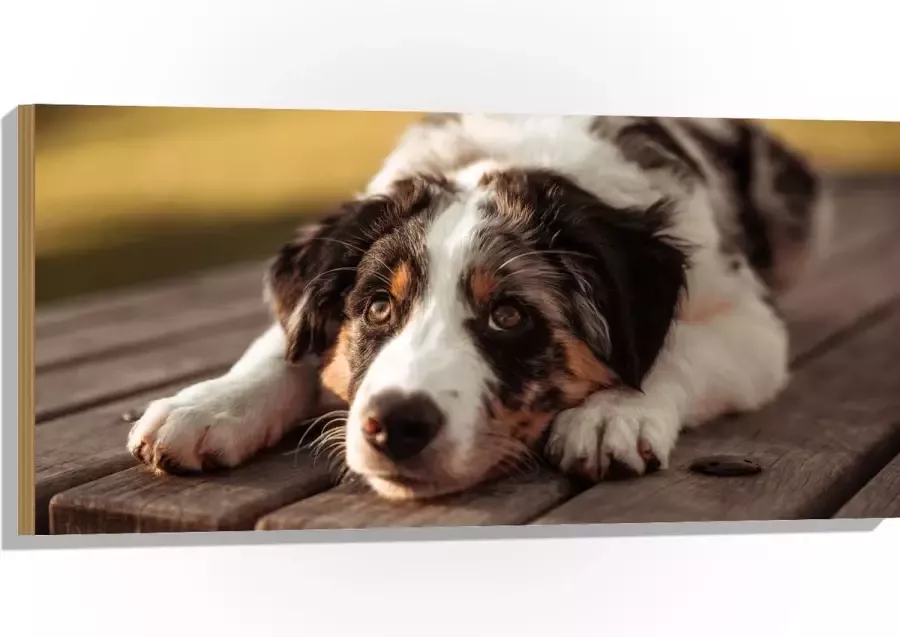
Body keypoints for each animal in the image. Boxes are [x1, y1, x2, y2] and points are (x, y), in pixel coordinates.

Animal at [126, 114, 828, 502]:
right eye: (377, 308)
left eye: (509, 316)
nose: (395, 426)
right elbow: (282, 344)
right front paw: (208, 407)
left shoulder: (750, 323)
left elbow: (676, 347)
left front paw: (613, 414)